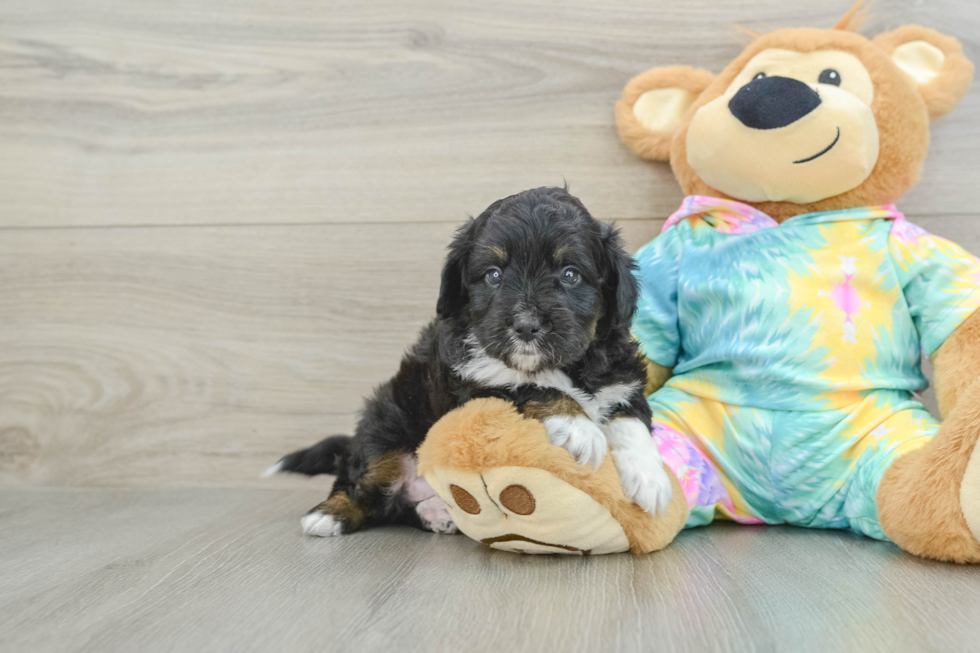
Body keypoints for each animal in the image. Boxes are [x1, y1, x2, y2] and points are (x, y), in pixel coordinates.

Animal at [264, 185, 668, 536]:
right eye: (493, 275)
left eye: (570, 274)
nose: (526, 325)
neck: (568, 367)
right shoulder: (473, 384)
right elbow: (532, 386)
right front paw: (579, 428)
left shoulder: (621, 375)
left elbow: (630, 418)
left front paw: (650, 477)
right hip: (384, 425)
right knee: (362, 482)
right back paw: (329, 515)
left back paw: (437, 512)